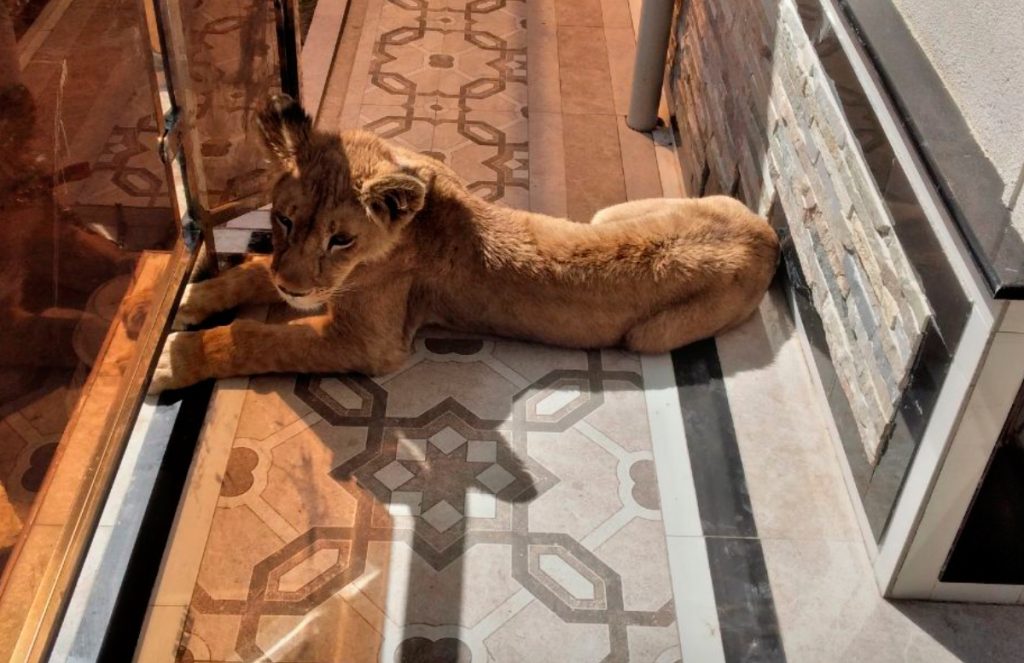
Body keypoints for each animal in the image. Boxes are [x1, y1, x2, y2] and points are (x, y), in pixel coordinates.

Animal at [148, 94, 779, 393]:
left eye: (341, 239)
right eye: (283, 219)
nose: (294, 287)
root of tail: (768, 235)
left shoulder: (370, 343)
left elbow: (259, 339)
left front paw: (177, 356)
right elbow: (255, 269)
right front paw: (196, 298)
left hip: (650, 336)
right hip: (612, 212)